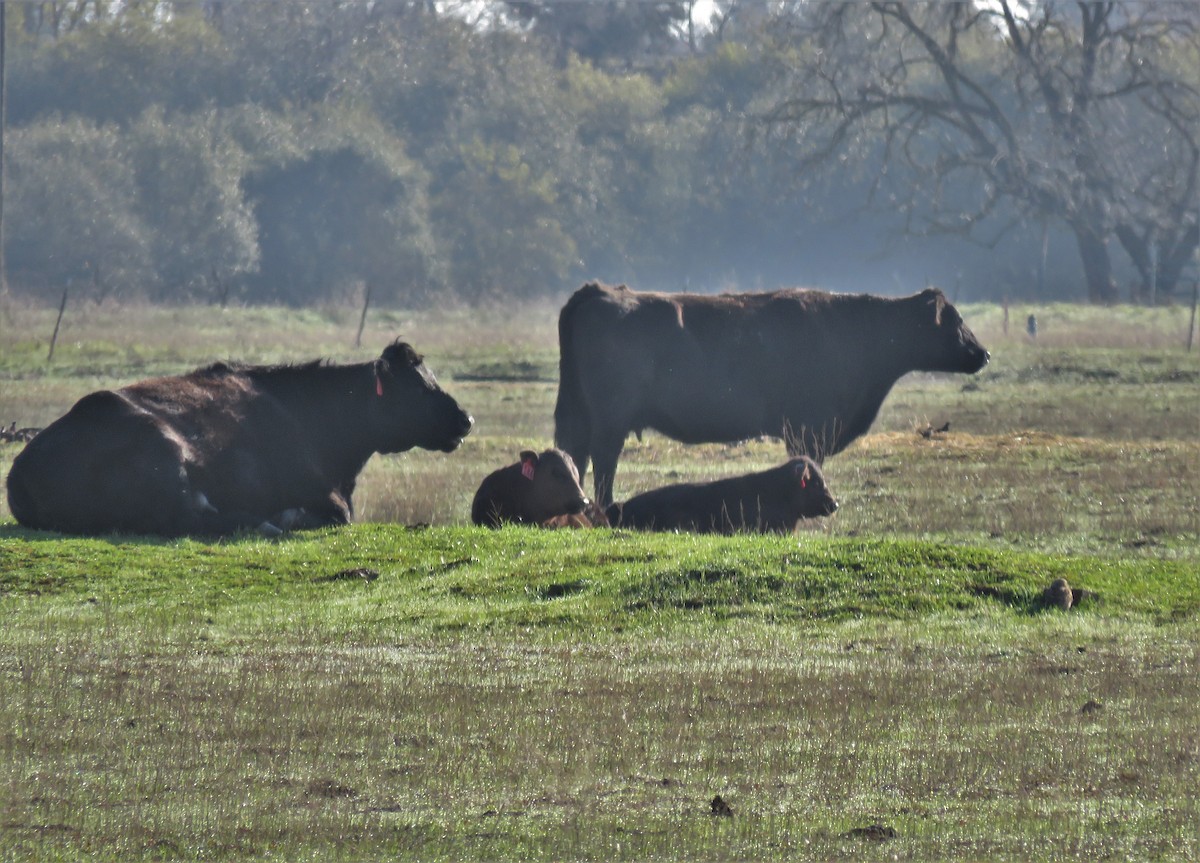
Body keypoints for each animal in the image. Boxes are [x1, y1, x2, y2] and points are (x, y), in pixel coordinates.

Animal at [7, 340, 472, 537]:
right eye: (418, 387)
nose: (465, 418)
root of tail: (21, 468)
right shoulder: (324, 493)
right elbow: (340, 515)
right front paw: (290, 517)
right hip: (159, 448)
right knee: (188, 521)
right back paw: (265, 522)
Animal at [552, 282, 984, 506]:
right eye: (957, 319)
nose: (984, 353)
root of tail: (601, 291)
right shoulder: (808, 428)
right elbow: (808, 465)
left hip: (579, 414)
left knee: (575, 455)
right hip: (610, 419)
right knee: (603, 461)